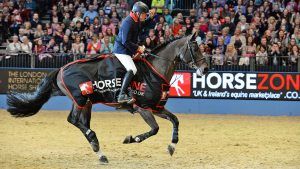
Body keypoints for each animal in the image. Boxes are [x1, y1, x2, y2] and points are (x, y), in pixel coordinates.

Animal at [7, 33, 209, 164]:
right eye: (194, 47)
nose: (205, 69)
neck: (155, 71)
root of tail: (61, 69)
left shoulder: (156, 108)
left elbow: (175, 120)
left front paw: (172, 146)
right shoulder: (143, 108)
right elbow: (155, 129)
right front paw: (131, 139)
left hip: (85, 102)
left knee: (79, 121)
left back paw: (99, 151)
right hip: (81, 99)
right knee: (74, 120)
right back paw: (95, 141)